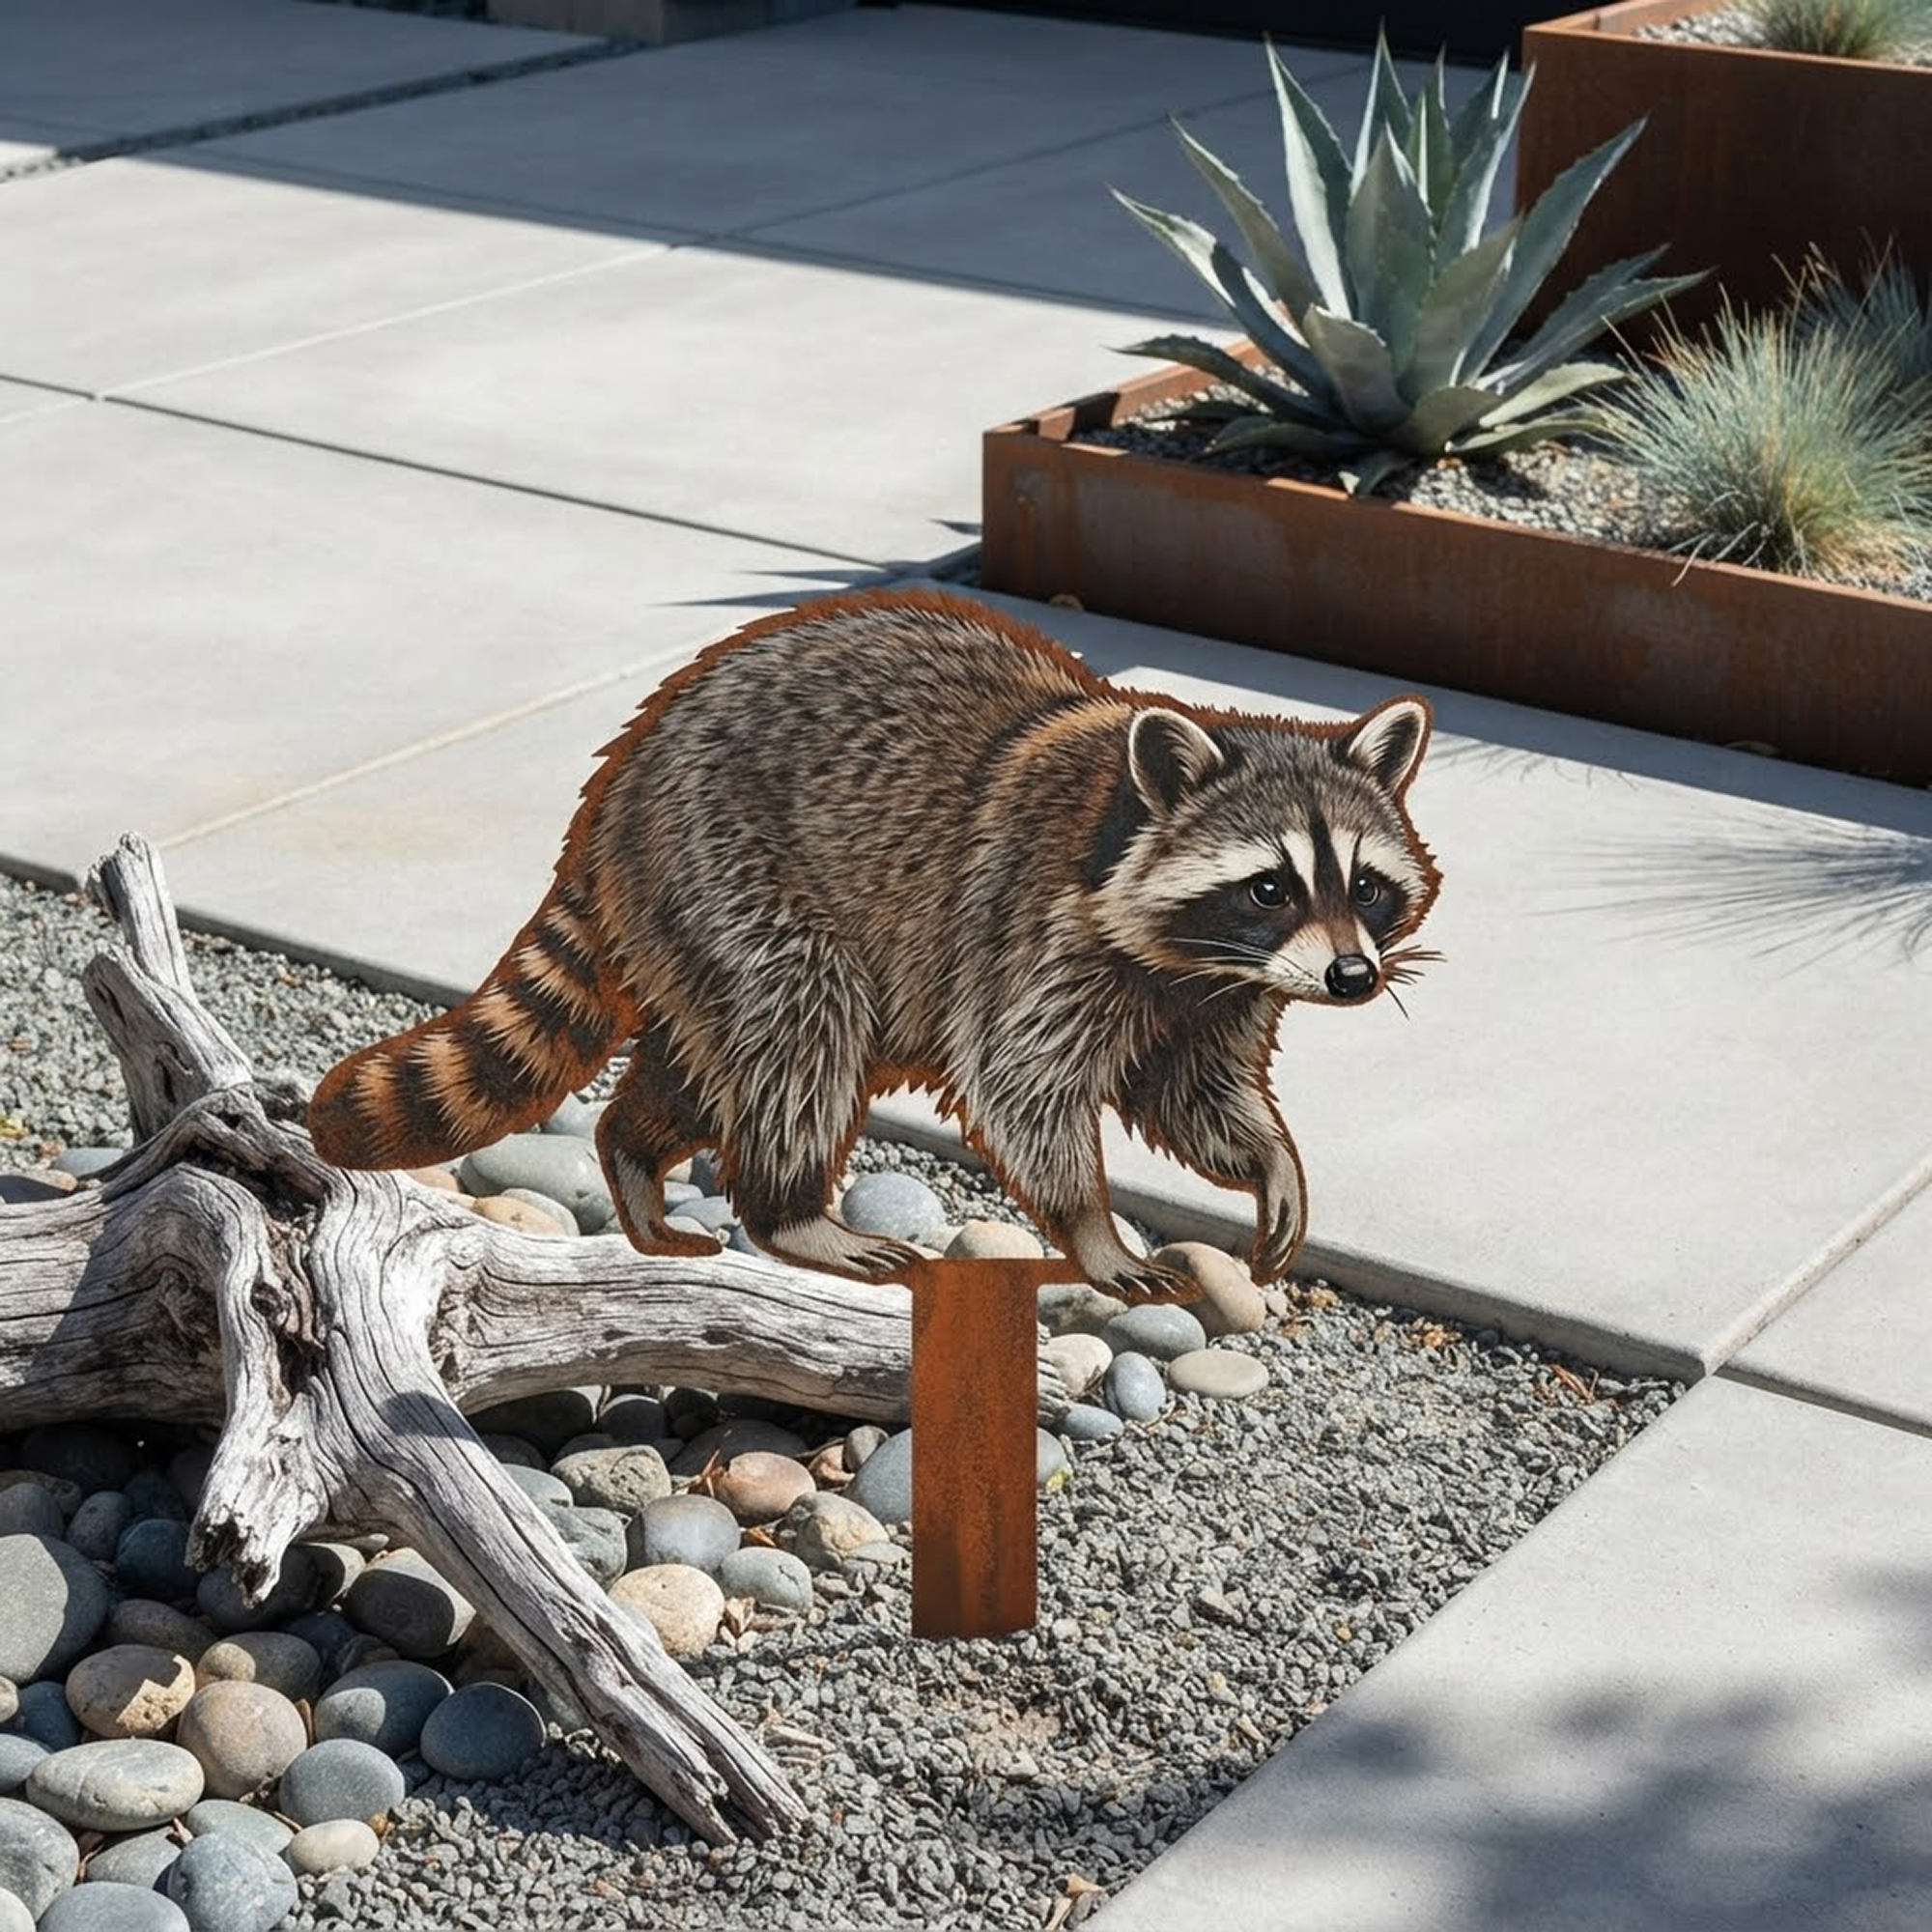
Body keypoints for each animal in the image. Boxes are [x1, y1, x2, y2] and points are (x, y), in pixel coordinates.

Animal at [309, 589, 1440, 1301]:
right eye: (1268, 886)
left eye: (1366, 887)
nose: (1351, 977)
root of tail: (621, 779)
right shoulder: (1033, 926)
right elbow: (1019, 1085)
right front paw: (1089, 1227)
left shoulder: (1213, 992)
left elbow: (1196, 1093)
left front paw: (1268, 1159)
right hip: (728, 860)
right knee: (800, 1026)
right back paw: (789, 1212)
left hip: (692, 911)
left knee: (706, 1056)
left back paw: (632, 1154)